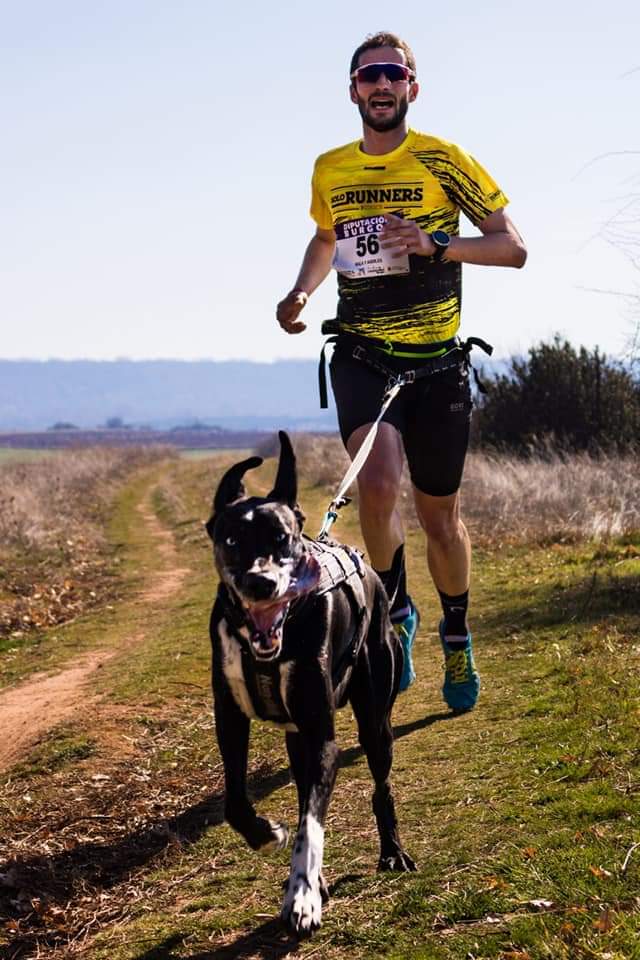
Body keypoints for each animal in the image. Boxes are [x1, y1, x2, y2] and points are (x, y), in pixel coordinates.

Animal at [206, 432, 416, 932]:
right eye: (231, 539)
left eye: (282, 537)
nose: (260, 583)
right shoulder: (231, 722)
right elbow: (236, 802)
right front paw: (265, 835)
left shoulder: (323, 736)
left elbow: (310, 827)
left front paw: (302, 894)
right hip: (296, 740)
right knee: (305, 790)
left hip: (375, 720)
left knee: (380, 784)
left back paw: (392, 852)